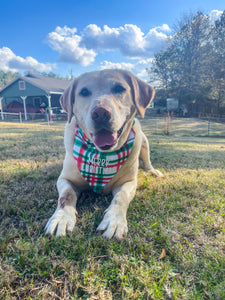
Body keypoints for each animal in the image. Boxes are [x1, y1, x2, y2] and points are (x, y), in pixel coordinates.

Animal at [45, 69, 162, 239]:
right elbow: (66, 196)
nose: (100, 113)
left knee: (147, 162)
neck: (102, 155)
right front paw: (62, 217)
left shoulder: (129, 182)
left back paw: (152, 171)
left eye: (119, 88)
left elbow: (121, 197)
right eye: (84, 92)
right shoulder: (65, 179)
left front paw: (114, 220)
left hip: (144, 141)